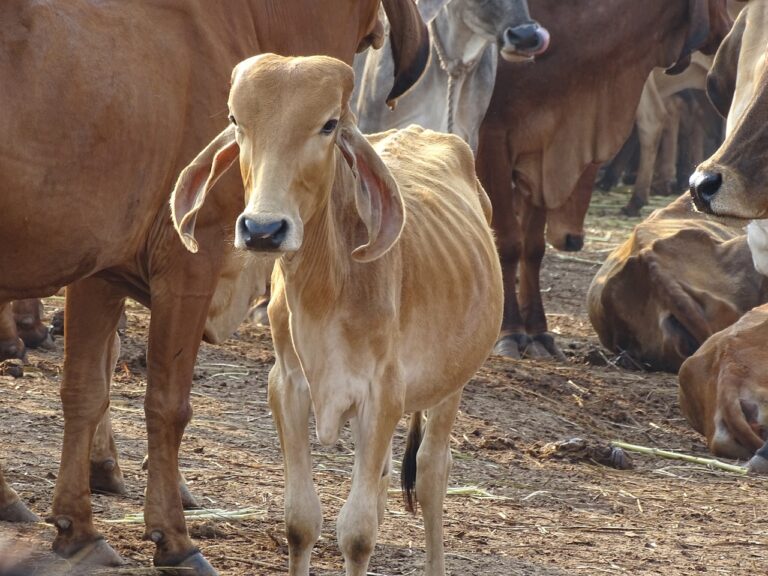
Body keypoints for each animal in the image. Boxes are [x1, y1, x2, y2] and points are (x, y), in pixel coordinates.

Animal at [0, 1, 429, 573]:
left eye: (326, 124)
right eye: (235, 124)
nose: (264, 229)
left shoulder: (100, 270)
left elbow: (85, 392)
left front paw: (78, 528)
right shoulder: (189, 263)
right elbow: (167, 404)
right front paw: (173, 538)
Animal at [170, 53, 503, 576]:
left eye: (328, 125)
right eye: (236, 121)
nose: (262, 229)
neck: (327, 287)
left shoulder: (382, 395)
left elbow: (358, 534)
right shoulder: (288, 386)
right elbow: (301, 520)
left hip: (453, 383)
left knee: (432, 474)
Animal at [476, 0, 732, 360]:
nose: (730, 30)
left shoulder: (542, 156)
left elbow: (533, 248)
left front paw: (538, 332)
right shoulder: (493, 140)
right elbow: (509, 243)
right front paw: (511, 331)